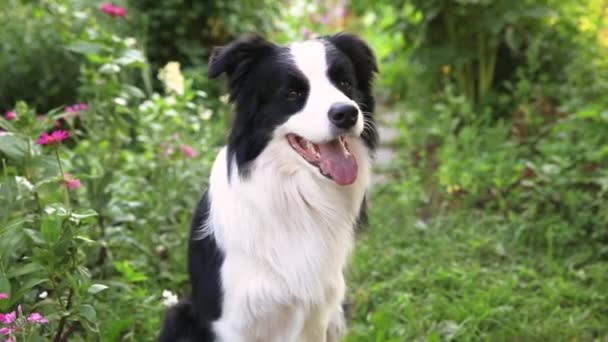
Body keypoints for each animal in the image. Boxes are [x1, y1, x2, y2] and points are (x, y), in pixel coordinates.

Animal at [159, 32, 378, 342]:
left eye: (345, 83)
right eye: (292, 93)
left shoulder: (318, 314)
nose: (346, 113)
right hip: (180, 315)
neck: (296, 195)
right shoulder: (234, 321)